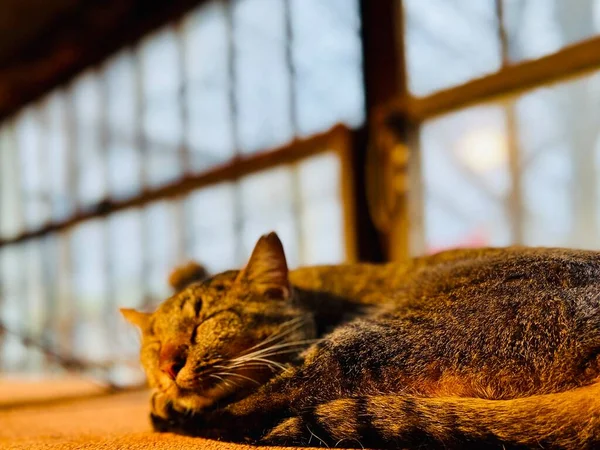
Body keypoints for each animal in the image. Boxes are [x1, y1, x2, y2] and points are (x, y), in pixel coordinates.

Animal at [119, 230, 600, 448]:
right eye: (151, 344)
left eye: (206, 322)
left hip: (371, 342)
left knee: (257, 410)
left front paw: (167, 407)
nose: (166, 365)